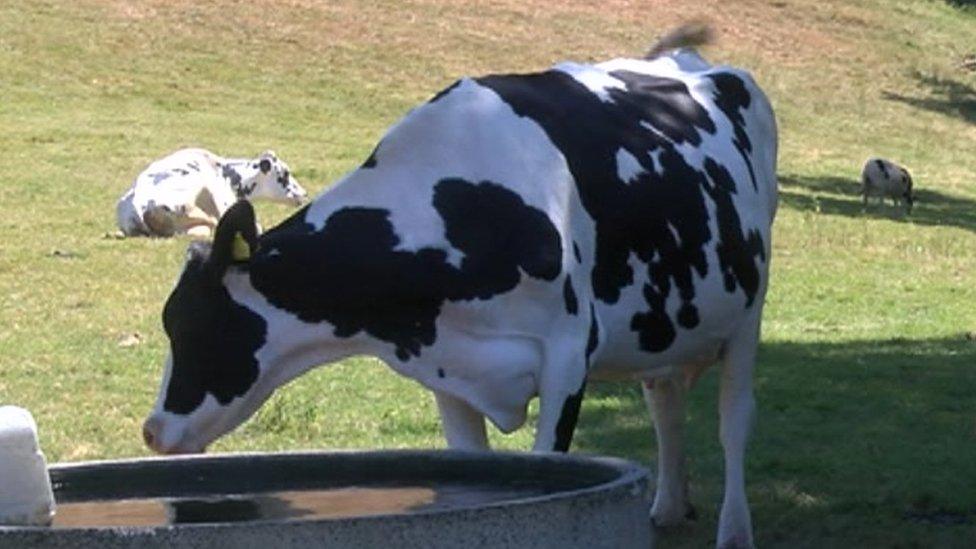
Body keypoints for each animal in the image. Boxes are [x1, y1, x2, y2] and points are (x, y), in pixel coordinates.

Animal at [143, 30, 776, 548]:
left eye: (194, 324)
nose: (152, 432)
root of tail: (692, 61)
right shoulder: (444, 364)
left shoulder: (568, 355)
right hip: (662, 321)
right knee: (665, 404)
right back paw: (667, 507)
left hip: (748, 314)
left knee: (734, 421)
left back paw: (735, 529)